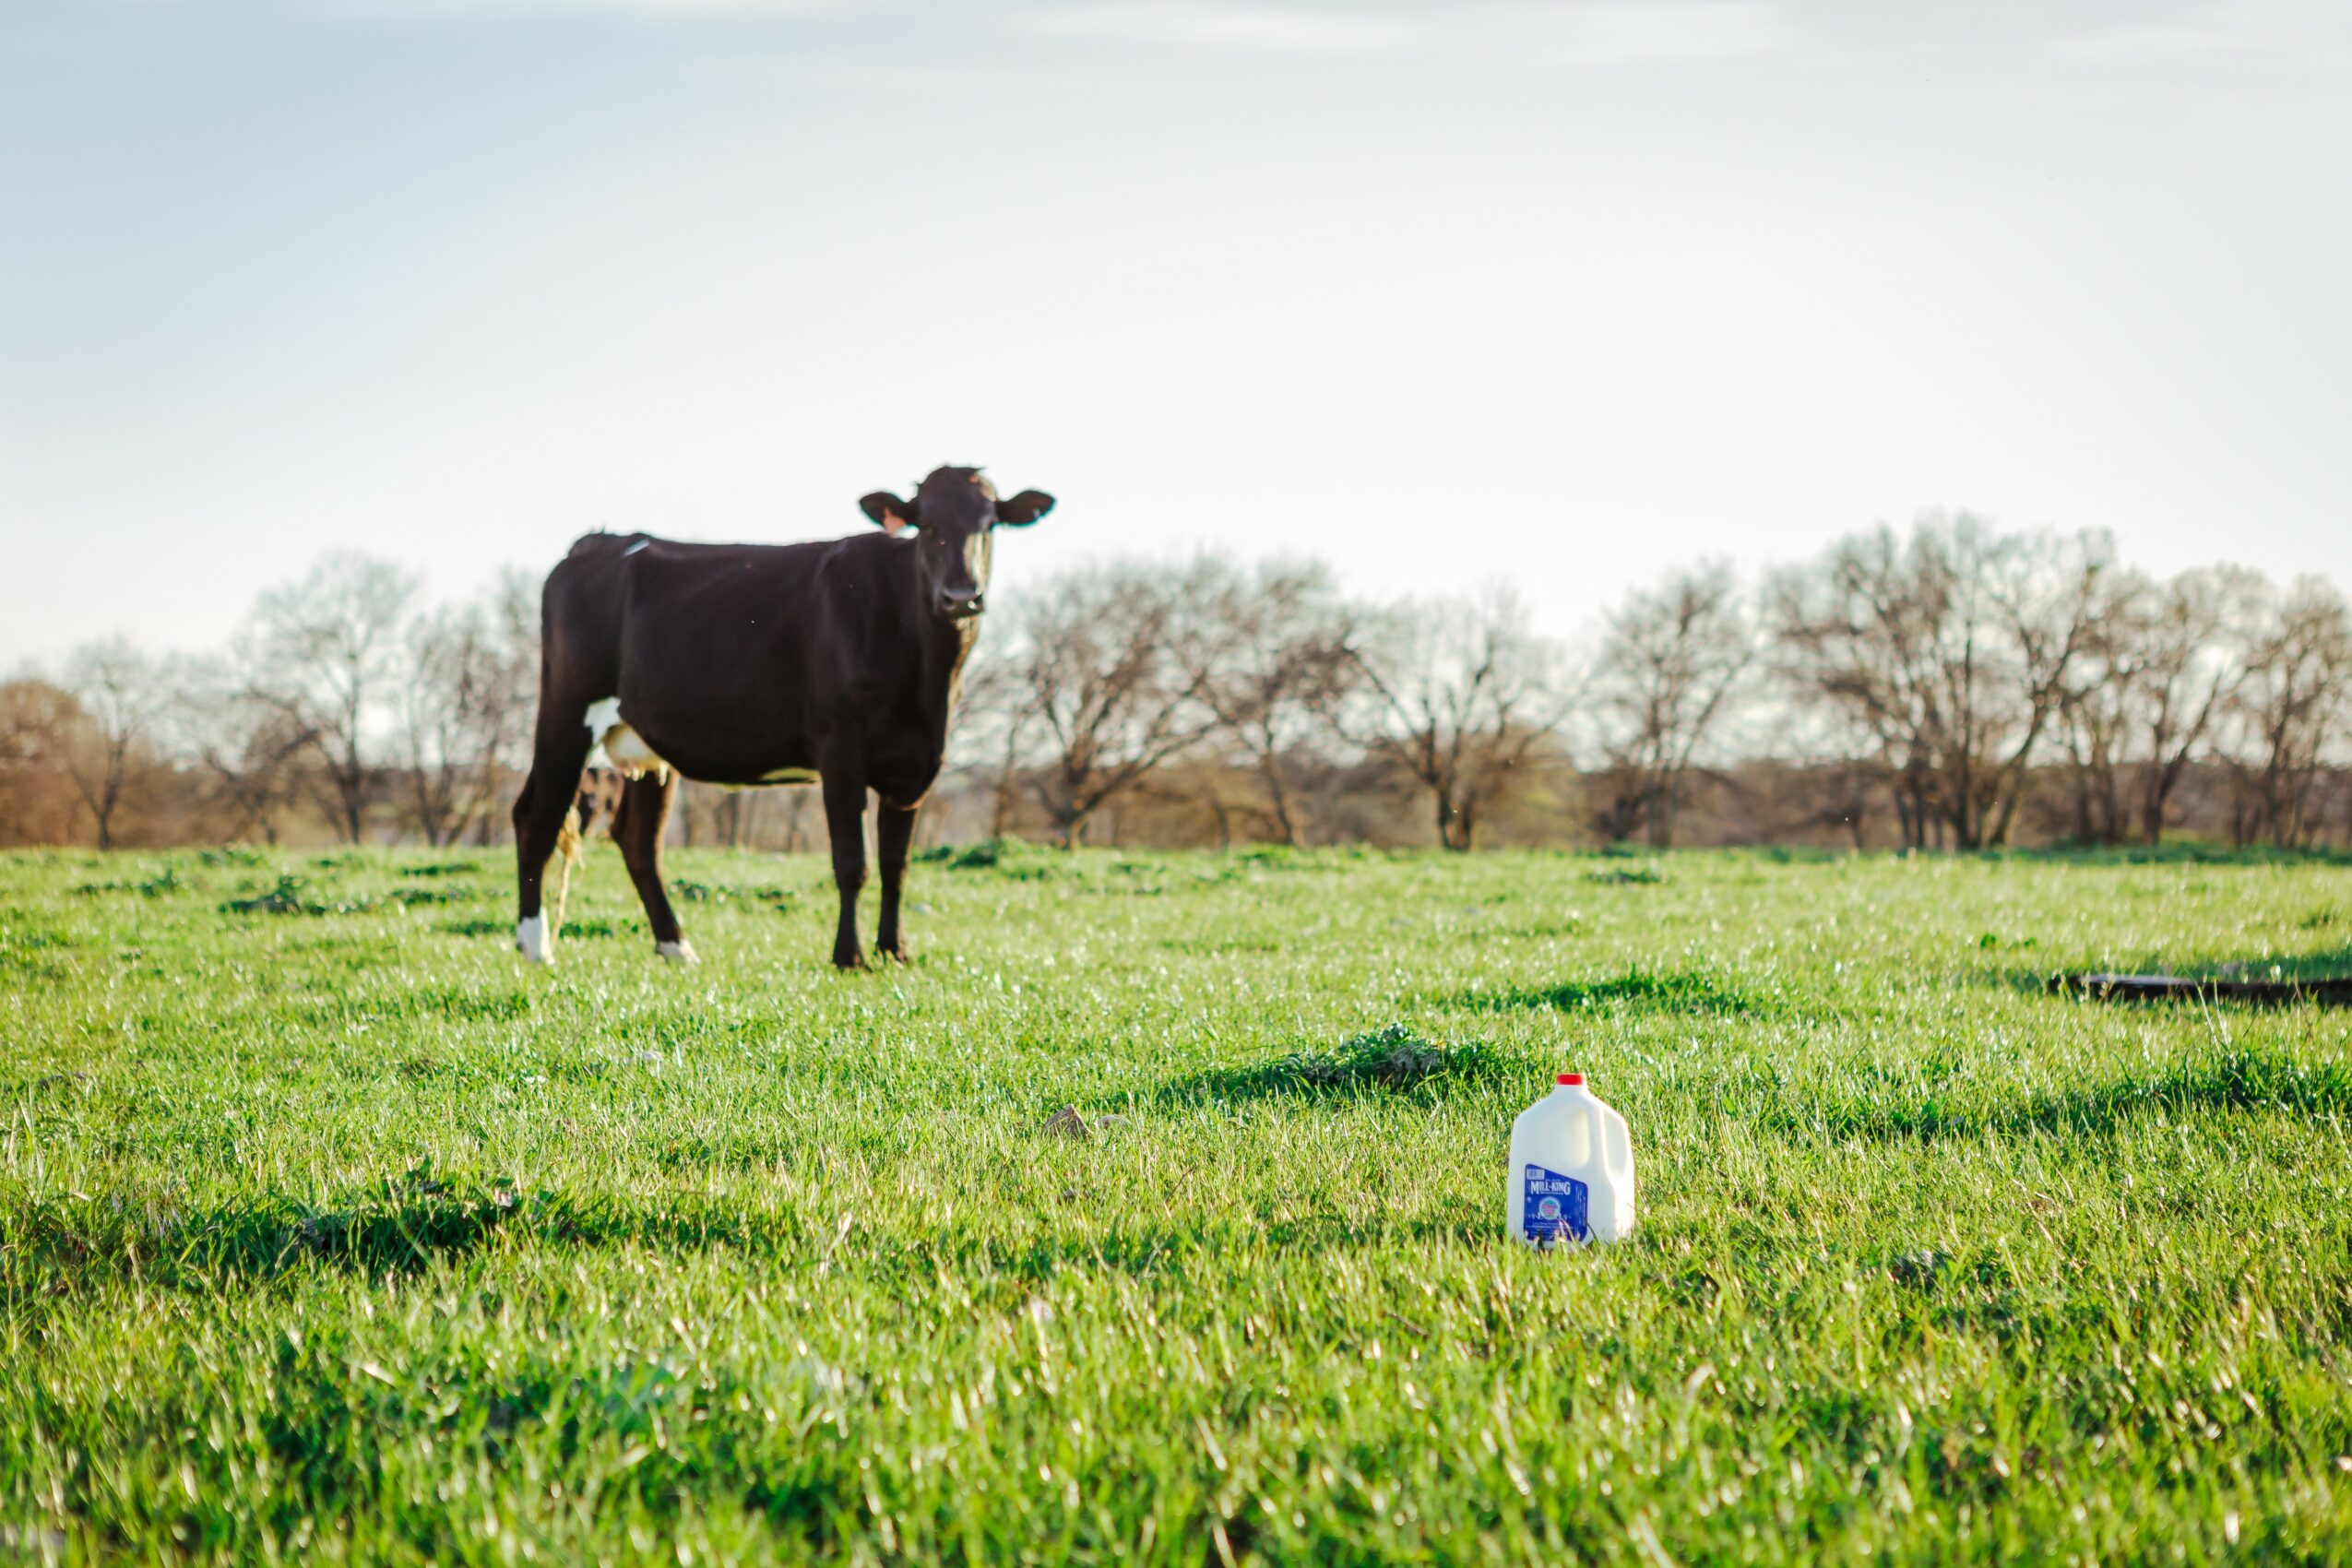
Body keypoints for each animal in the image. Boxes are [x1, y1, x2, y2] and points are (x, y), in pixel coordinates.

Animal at [509, 466, 1055, 969]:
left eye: (988, 524)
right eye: (928, 526)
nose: (962, 596)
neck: (928, 685)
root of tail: (600, 541)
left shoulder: (915, 763)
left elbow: (896, 863)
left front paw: (894, 951)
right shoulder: (840, 751)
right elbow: (852, 863)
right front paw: (849, 955)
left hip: (648, 745)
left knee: (639, 841)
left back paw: (676, 947)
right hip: (566, 712)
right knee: (536, 818)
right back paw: (536, 947)